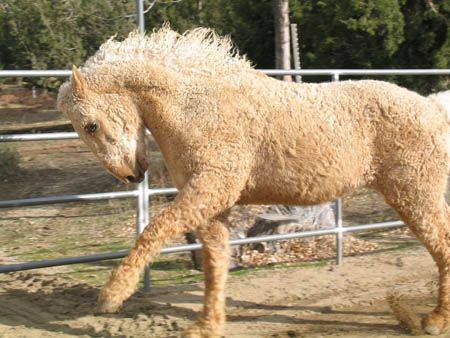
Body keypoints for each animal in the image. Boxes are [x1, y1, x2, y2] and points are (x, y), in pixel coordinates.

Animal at [58, 27, 450, 336]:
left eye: (90, 125)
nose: (132, 174)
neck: (196, 107)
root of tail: (433, 107)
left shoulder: (210, 190)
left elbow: (155, 230)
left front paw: (111, 295)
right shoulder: (211, 206)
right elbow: (215, 264)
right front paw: (207, 326)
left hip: (415, 195)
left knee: (442, 244)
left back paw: (434, 321)